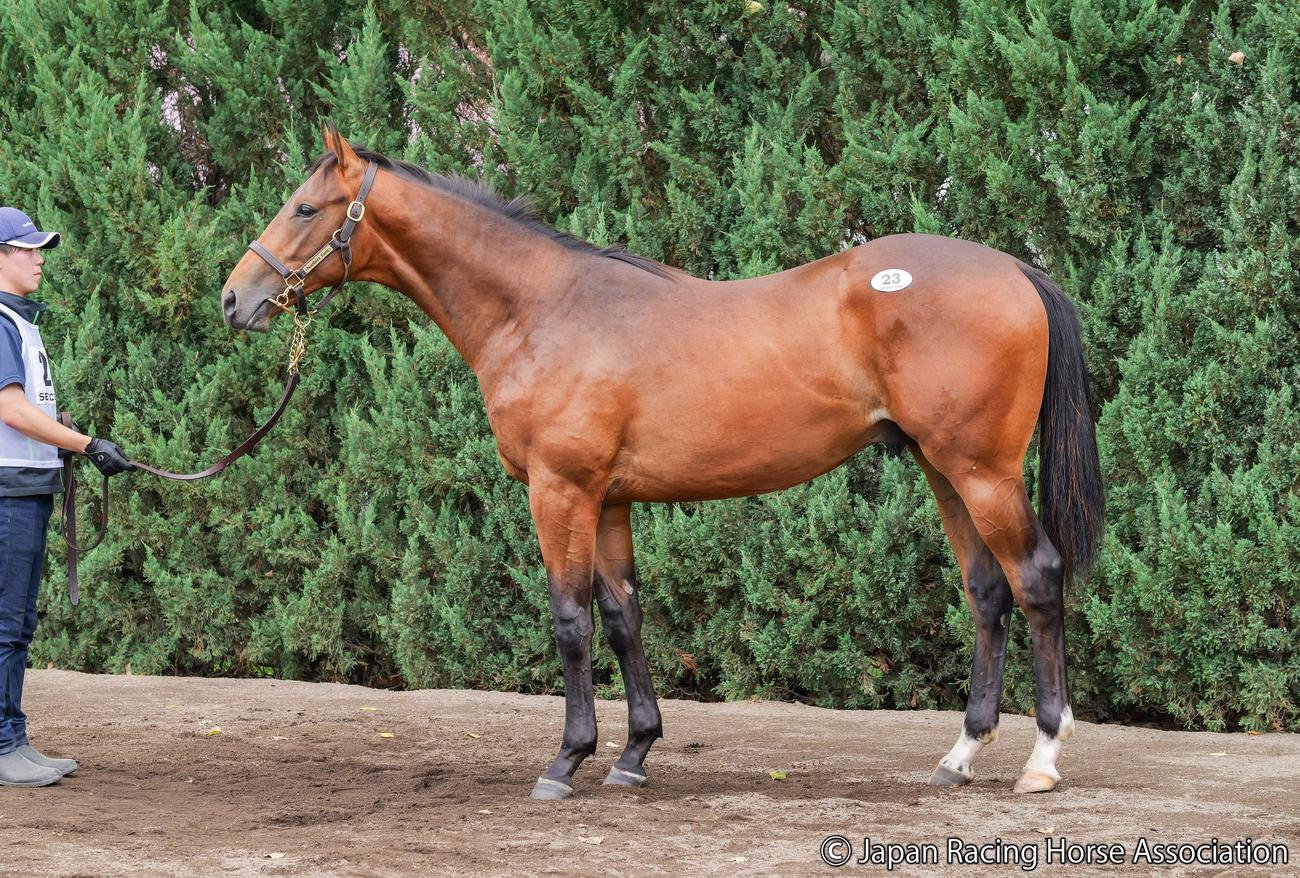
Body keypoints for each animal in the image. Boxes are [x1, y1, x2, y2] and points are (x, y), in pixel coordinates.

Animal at [221, 126, 1104, 800]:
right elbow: (623, 618)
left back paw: (1042, 760)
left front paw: (567, 760)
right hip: (942, 469)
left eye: (305, 208)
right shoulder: (609, 499)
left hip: (981, 471)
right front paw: (635, 754)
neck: (540, 309)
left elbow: (570, 620)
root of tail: (1013, 268)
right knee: (987, 592)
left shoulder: (561, 492)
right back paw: (960, 756)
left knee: (1036, 579)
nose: (236, 299)